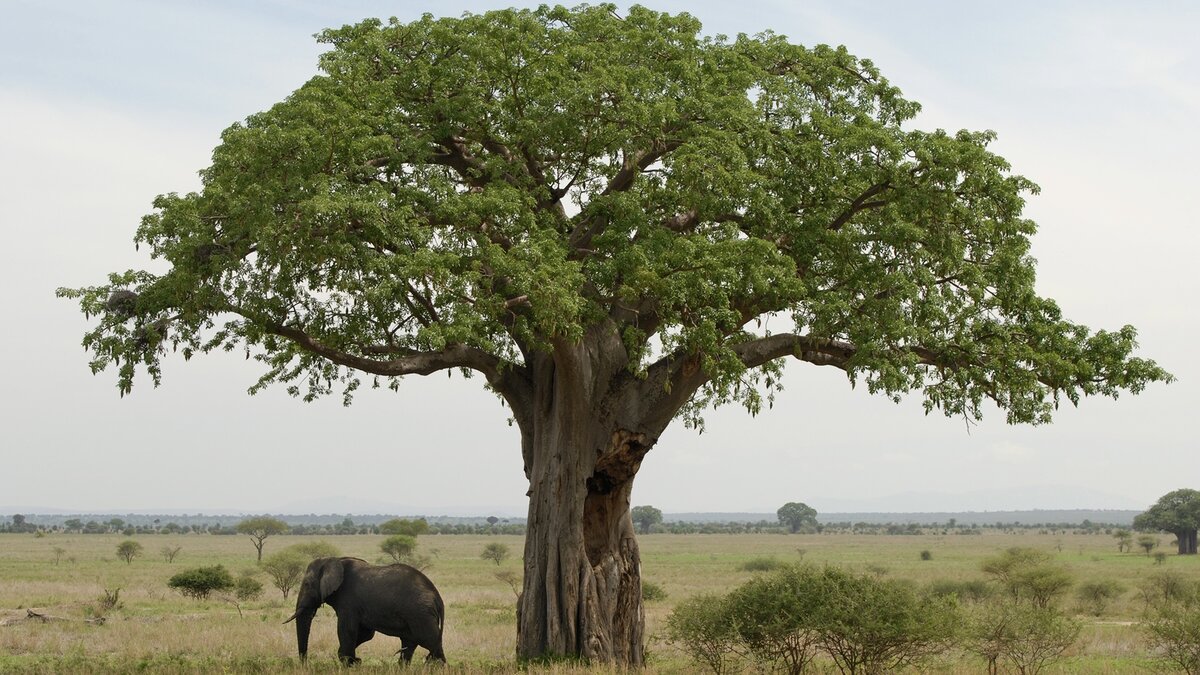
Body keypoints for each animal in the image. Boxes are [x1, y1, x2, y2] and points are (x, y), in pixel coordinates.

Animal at [283, 552, 448, 662]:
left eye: (306, 584)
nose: (305, 663)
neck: (334, 560)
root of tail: (437, 596)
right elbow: (366, 633)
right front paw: (354, 661)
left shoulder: (349, 602)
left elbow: (347, 630)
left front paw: (349, 663)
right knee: (410, 644)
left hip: (420, 614)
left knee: (430, 641)